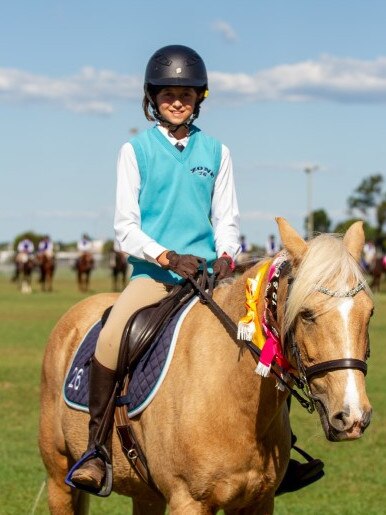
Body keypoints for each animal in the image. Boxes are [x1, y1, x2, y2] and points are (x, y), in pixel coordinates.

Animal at [39, 220, 374, 515]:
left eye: (369, 313)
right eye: (305, 314)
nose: (352, 417)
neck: (234, 397)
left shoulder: (258, 501)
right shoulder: (189, 500)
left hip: (145, 493)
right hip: (59, 476)